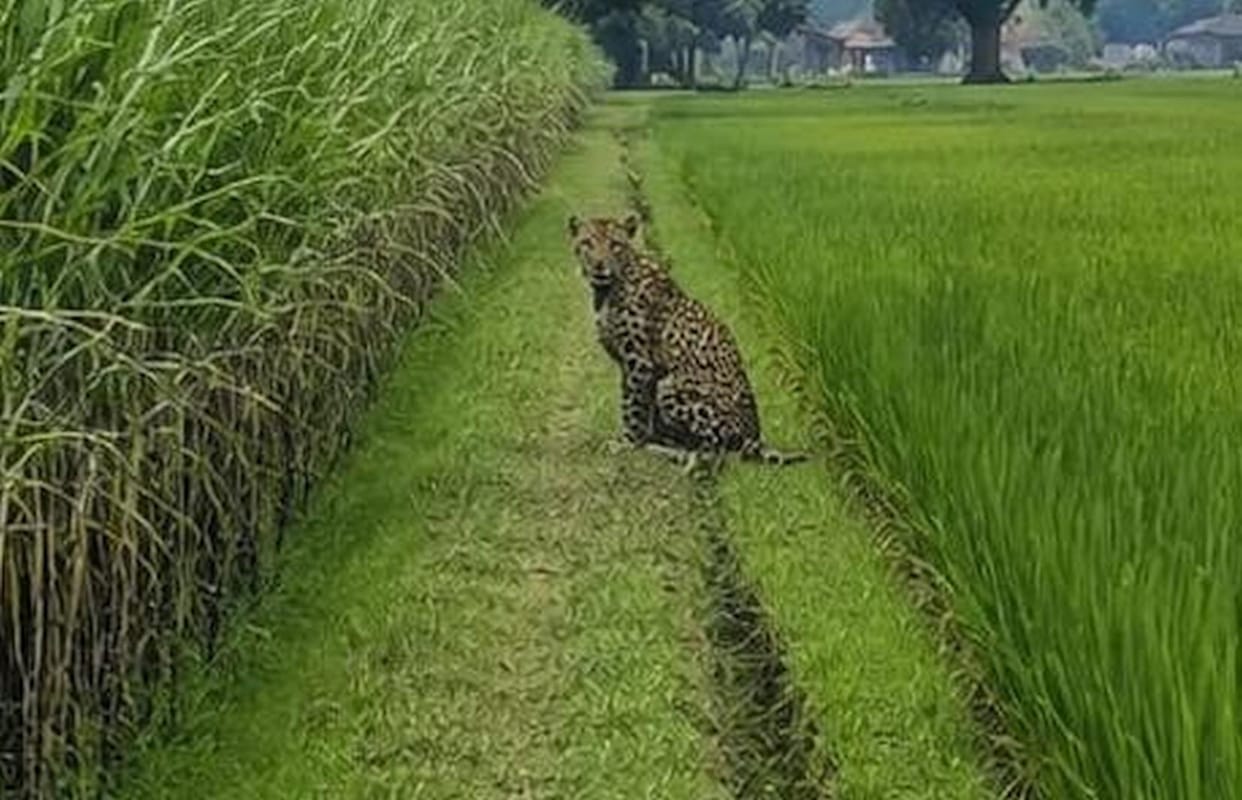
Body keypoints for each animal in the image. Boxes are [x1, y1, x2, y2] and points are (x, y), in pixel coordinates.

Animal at [566, 211, 807, 467]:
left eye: (615, 245)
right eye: (587, 243)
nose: (599, 265)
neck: (609, 288)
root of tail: (756, 436)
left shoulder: (639, 362)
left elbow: (633, 405)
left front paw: (628, 442)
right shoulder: (627, 363)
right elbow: (630, 402)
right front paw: (636, 438)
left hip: (671, 385)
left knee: (717, 449)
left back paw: (672, 452)